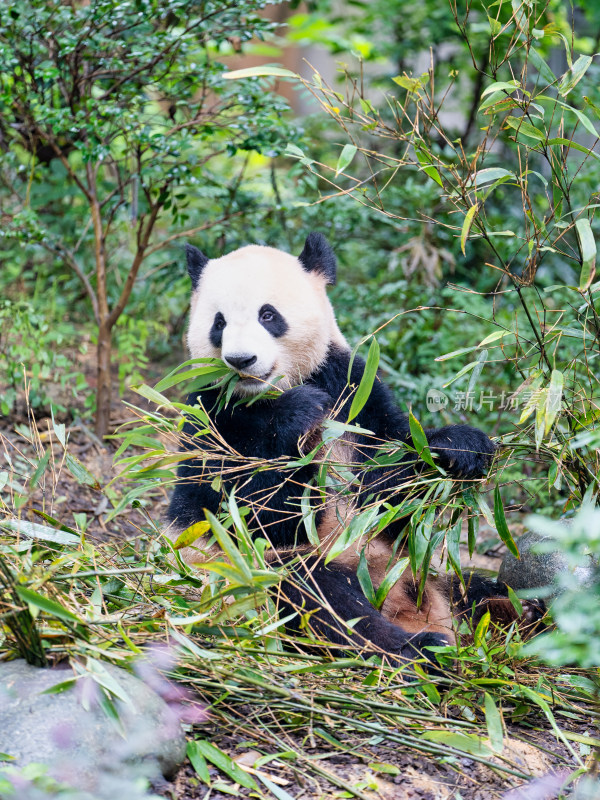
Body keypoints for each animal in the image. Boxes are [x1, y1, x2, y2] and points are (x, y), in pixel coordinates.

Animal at [168, 234, 536, 664]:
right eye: (219, 323)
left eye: (268, 315)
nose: (241, 360)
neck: (265, 394)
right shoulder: (209, 417)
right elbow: (250, 510)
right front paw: (299, 413)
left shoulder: (353, 388)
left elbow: (391, 486)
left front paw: (460, 447)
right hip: (245, 577)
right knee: (317, 596)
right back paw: (418, 649)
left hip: (423, 570)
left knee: (470, 587)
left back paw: (521, 609)